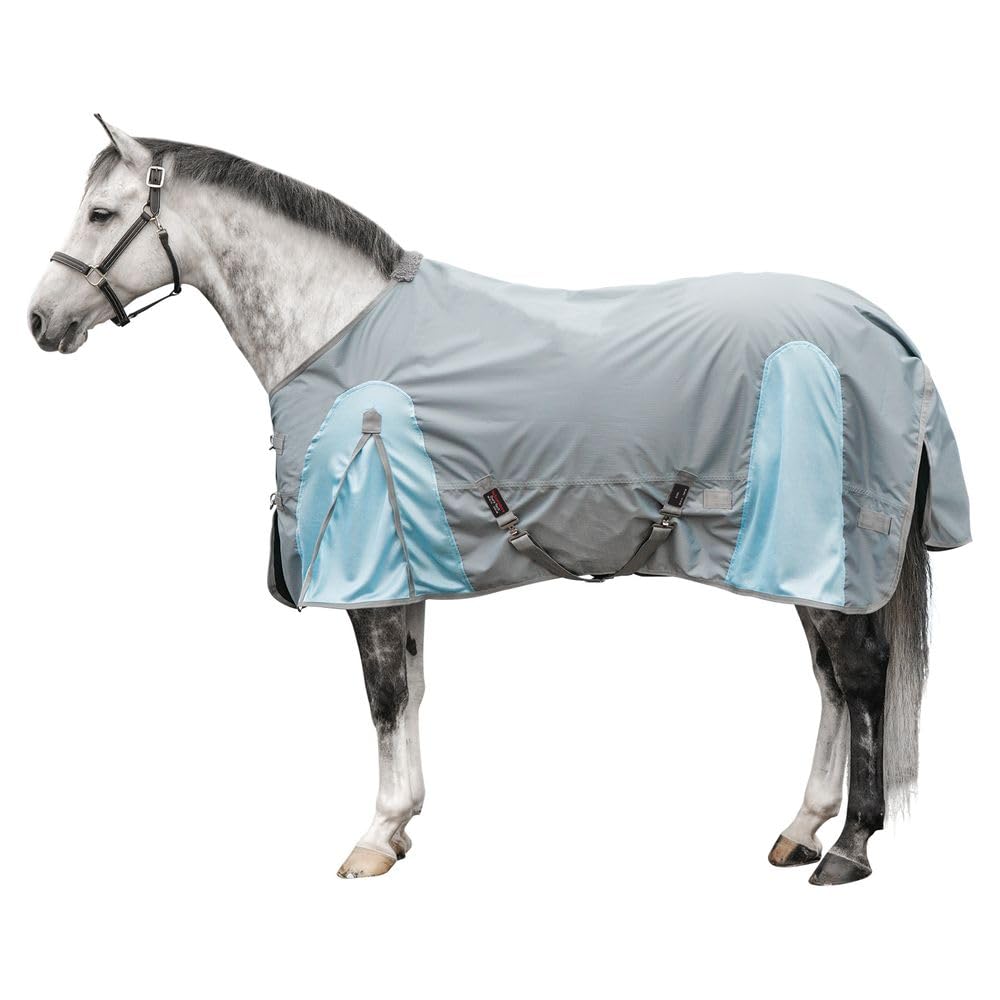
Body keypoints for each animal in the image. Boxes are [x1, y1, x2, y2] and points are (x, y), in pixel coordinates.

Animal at [27, 117, 970, 885]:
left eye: (101, 215)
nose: (40, 320)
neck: (339, 332)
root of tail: (884, 330)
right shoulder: (401, 564)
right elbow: (410, 688)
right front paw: (401, 827)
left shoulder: (368, 563)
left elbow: (382, 696)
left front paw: (372, 837)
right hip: (802, 559)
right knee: (831, 685)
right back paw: (802, 829)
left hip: (829, 549)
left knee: (860, 679)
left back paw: (849, 848)